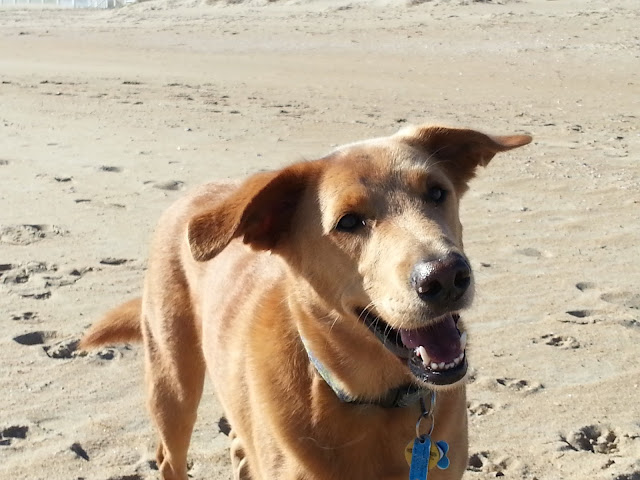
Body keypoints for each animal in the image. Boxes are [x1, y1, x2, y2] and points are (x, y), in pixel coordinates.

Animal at [81, 124, 531, 480]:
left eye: (437, 192)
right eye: (348, 222)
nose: (446, 276)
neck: (371, 402)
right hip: (172, 384)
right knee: (169, 456)